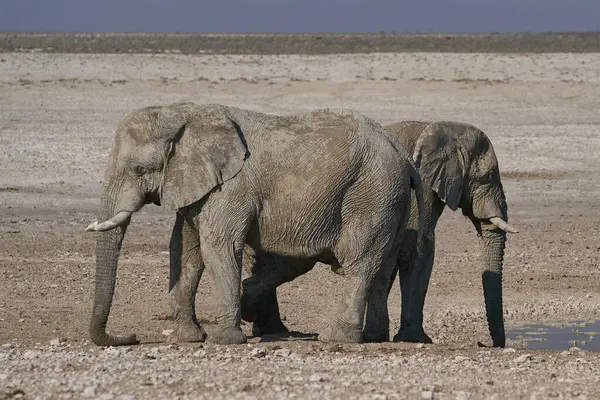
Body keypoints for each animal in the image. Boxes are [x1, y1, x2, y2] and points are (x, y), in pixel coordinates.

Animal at [84, 101, 424, 346]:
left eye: (139, 169)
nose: (130, 337)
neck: (183, 113)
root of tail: (403, 156)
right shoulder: (196, 186)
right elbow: (186, 250)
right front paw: (187, 339)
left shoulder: (231, 188)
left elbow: (218, 246)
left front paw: (224, 340)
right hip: (390, 200)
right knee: (382, 267)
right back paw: (374, 338)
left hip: (371, 193)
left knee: (359, 262)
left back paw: (336, 338)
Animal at [241, 119, 516, 346]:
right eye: (488, 176)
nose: (488, 344)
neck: (438, 126)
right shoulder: (419, 194)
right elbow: (420, 251)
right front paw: (415, 339)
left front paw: (377, 336)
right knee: (288, 265)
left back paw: (268, 327)